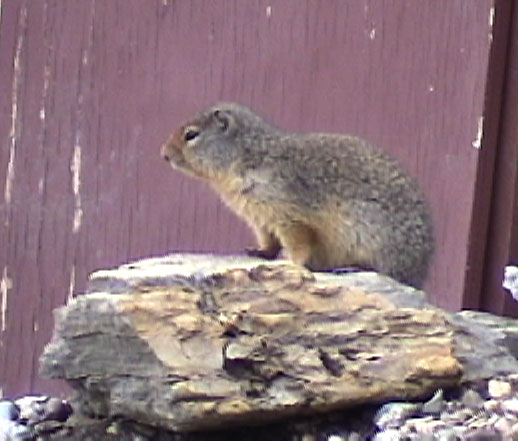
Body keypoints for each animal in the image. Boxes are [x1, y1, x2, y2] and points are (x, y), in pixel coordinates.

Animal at [161, 103, 434, 288]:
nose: (163, 154)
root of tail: (419, 274)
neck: (248, 157)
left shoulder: (290, 217)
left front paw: (291, 266)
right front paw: (257, 252)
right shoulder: (261, 219)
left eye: (191, 134)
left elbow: (299, 245)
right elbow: (269, 241)